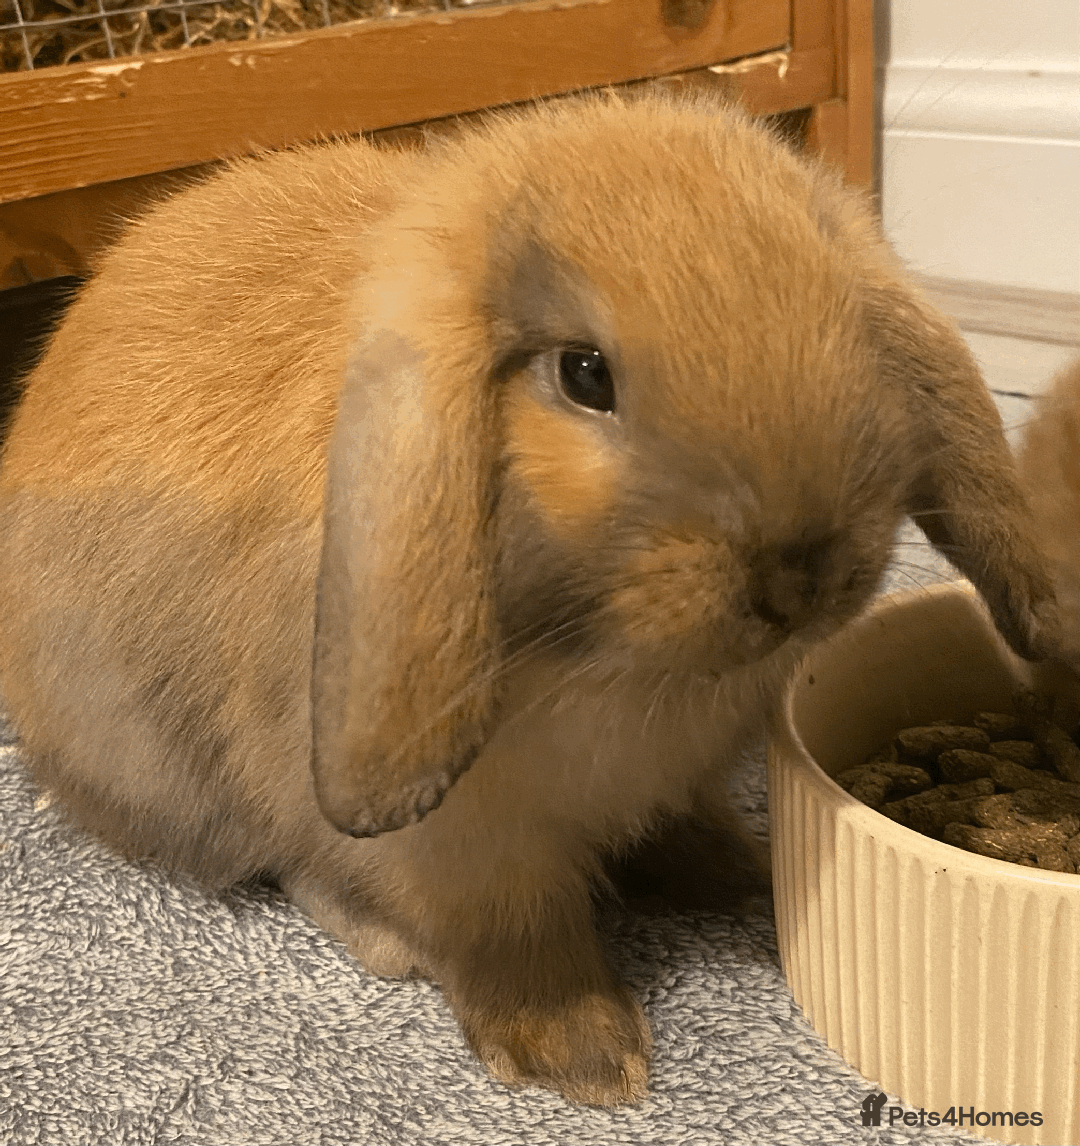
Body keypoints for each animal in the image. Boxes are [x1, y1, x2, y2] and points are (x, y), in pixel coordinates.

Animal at [0, 91, 1059, 1106]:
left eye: (847, 322)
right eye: (583, 374)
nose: (802, 579)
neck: (611, 654)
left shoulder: (676, 778)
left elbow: (682, 827)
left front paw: (745, 879)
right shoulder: (466, 846)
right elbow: (514, 939)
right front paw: (584, 1062)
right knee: (277, 862)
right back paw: (388, 947)